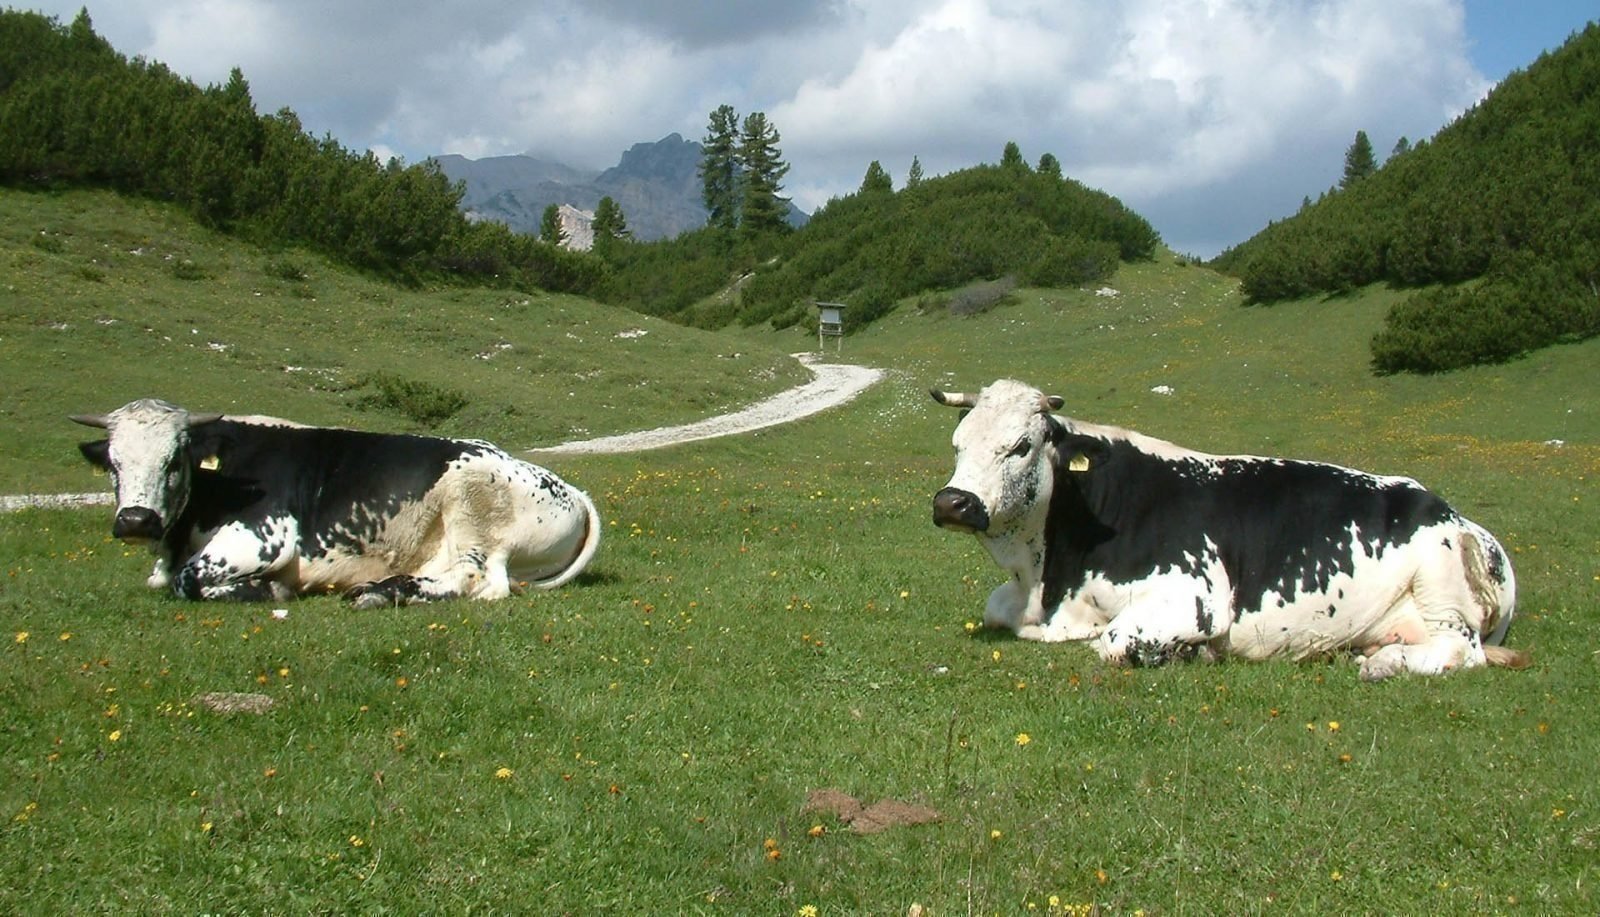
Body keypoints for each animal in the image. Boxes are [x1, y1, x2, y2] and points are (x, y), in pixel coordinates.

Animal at [72, 396, 601, 604]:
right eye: (114, 464)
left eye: (174, 460)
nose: (135, 520)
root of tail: (573, 490)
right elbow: (165, 579)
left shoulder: (265, 536)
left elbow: (188, 580)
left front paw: (272, 590)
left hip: (472, 505)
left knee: (482, 581)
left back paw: (380, 593)